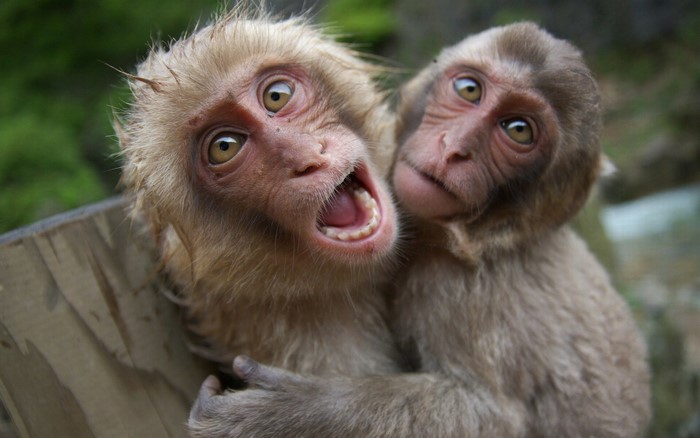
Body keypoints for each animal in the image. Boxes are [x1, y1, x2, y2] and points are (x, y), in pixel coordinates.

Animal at [188, 22, 651, 438]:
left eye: (519, 130)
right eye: (469, 90)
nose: (455, 147)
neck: (479, 238)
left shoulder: (458, 287)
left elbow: (491, 415)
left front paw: (290, 413)